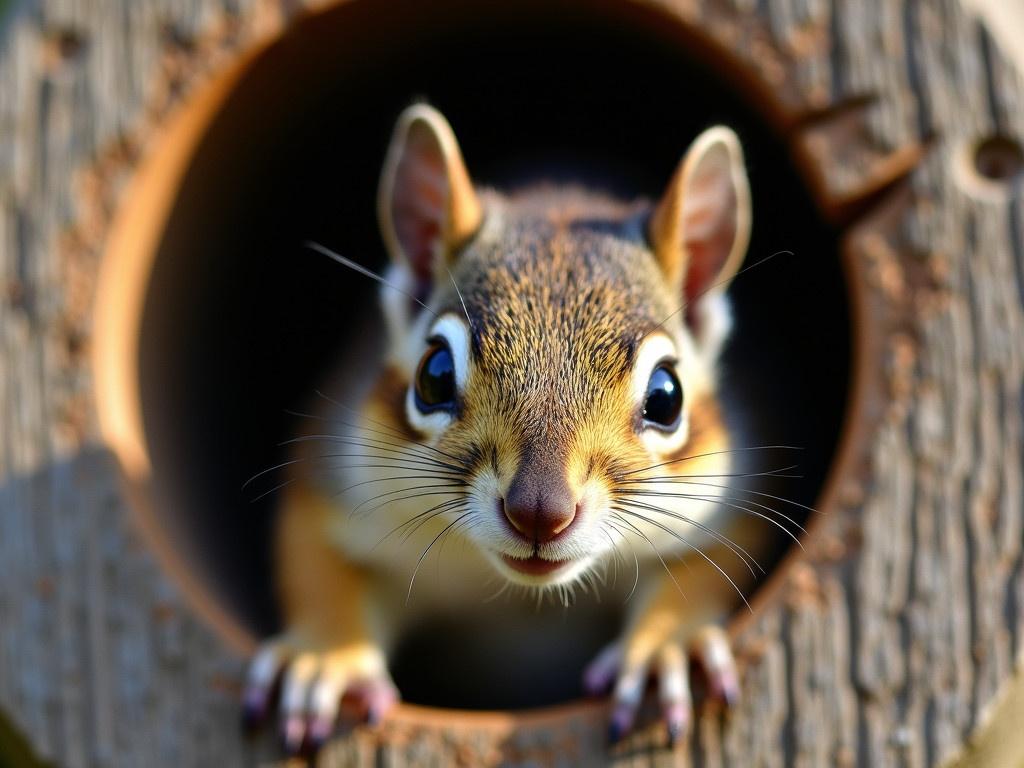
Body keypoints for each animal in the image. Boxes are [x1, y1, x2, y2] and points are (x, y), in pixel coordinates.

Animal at [241, 102, 770, 757]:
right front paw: (324, 656)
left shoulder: (729, 496)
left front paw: (668, 647)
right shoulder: (335, 477)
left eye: (666, 397)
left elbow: (712, 566)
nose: (540, 513)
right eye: (434, 375)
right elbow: (314, 558)